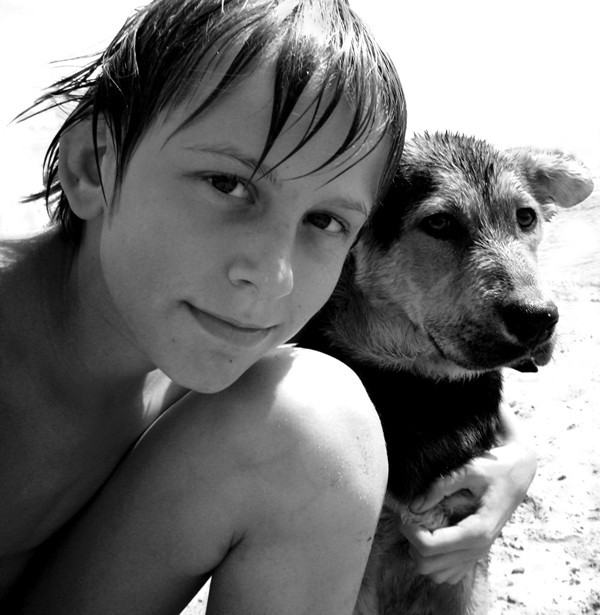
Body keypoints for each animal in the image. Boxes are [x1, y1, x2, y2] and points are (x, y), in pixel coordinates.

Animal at [295, 132, 594, 615]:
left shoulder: (464, 565)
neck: (421, 388)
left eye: (526, 217)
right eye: (439, 223)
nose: (539, 318)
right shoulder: (358, 563)